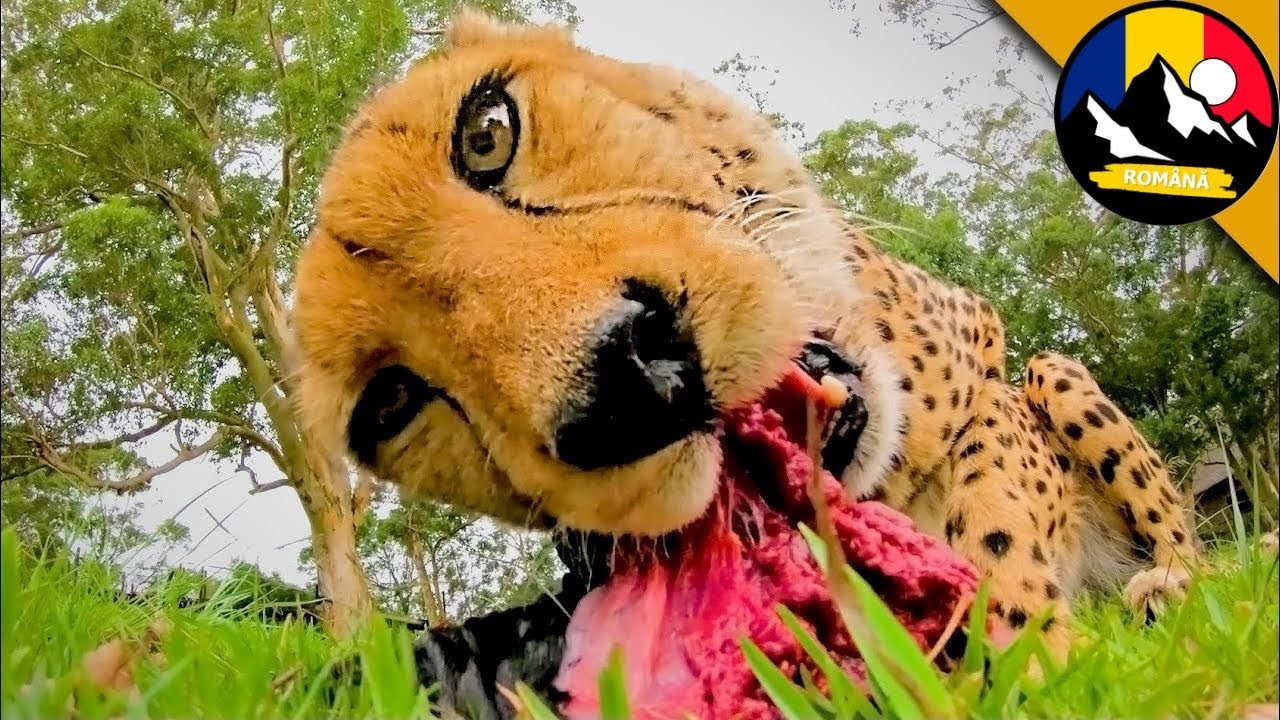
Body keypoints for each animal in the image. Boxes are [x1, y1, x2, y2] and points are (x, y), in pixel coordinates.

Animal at [289, 8, 1198, 680]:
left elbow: (995, 501)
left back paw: (1167, 586)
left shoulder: (988, 353)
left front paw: (1013, 644)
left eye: (485, 132)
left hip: (1057, 374)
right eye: (390, 404)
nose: (629, 387)